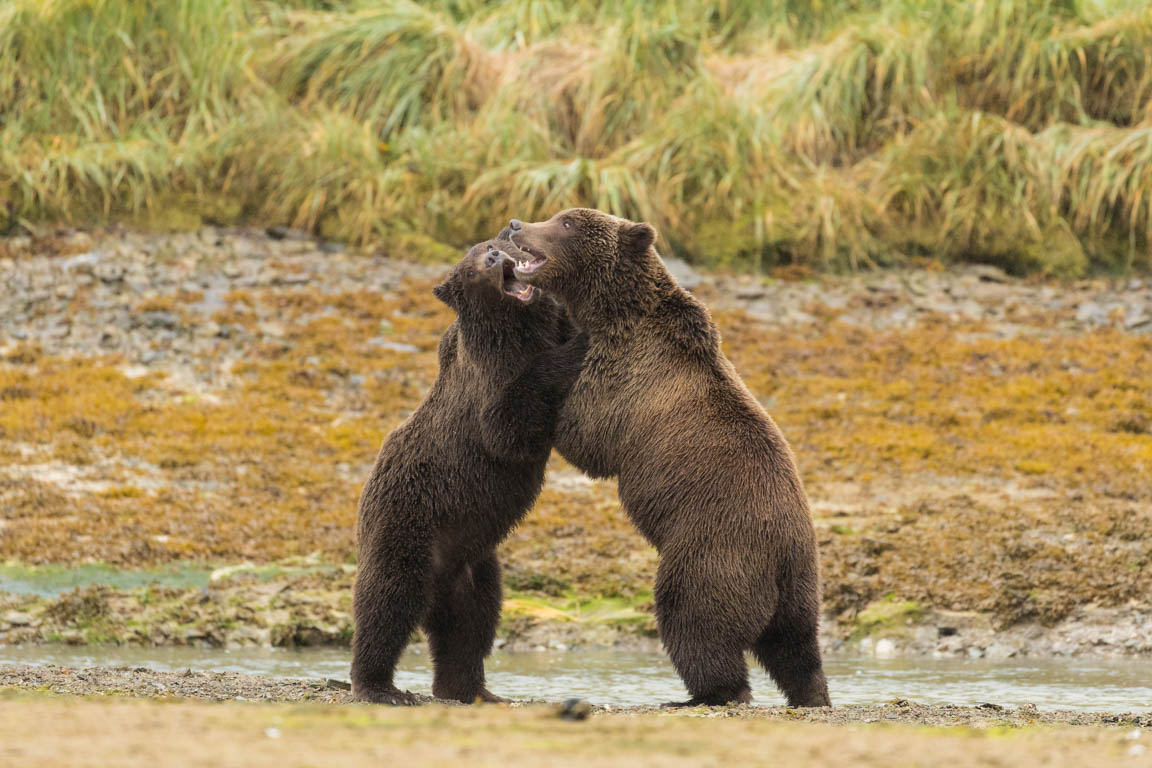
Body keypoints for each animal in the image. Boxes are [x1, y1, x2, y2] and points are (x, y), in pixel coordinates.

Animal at [350, 237, 585, 704]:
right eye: (475, 263)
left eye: (491, 245)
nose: (496, 256)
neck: (516, 328)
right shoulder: (489, 387)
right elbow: (509, 425)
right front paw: (576, 348)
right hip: (406, 525)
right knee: (387, 602)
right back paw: (379, 685)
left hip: (475, 563)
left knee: (471, 626)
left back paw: (472, 690)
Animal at [509, 210, 834, 709]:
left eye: (565, 223)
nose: (514, 225)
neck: (612, 311)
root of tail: (781, 558)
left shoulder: (623, 375)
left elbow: (586, 435)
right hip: (801, 586)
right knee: (796, 648)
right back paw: (812, 694)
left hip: (713, 553)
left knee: (692, 619)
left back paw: (706, 693)